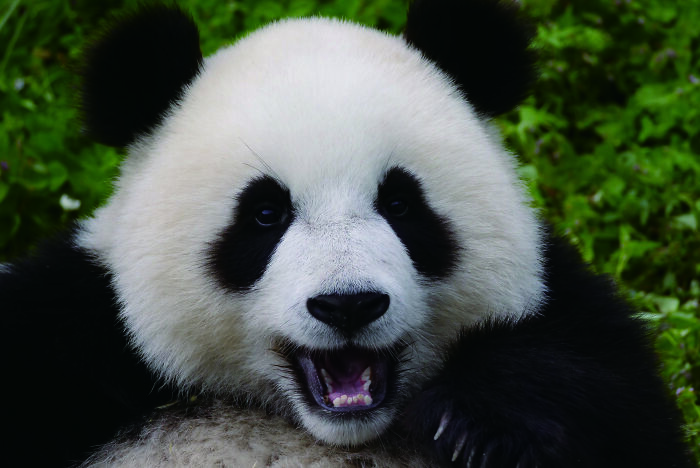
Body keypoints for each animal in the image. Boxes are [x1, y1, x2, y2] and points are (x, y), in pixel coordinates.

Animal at [3, 0, 694, 467]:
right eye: (265, 215)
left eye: (401, 203)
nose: (348, 304)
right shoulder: (73, 330)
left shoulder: (574, 317)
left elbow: (598, 386)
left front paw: (475, 424)